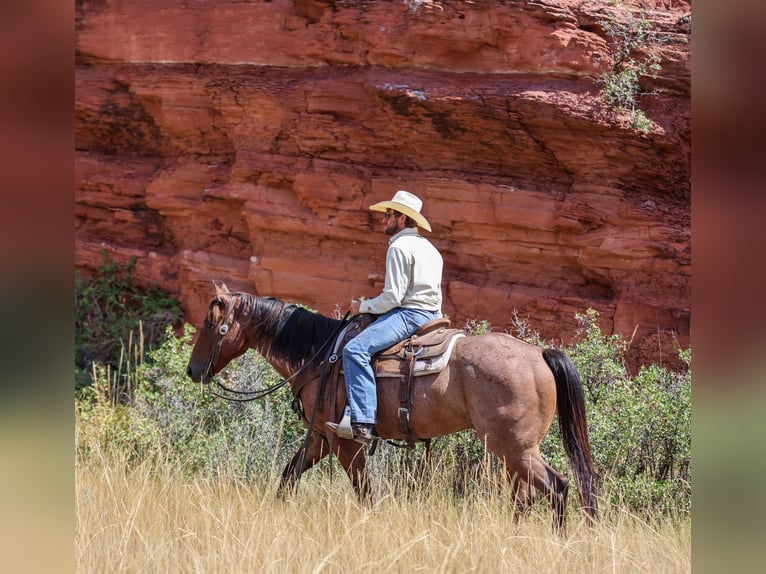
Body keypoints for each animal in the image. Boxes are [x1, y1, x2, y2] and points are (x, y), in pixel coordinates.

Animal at [186, 283, 598, 533]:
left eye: (209, 323)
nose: (192, 371)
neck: (319, 354)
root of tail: (539, 354)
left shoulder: (346, 443)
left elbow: (364, 493)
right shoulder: (320, 439)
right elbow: (288, 479)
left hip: (513, 448)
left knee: (557, 487)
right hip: (513, 451)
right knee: (527, 496)